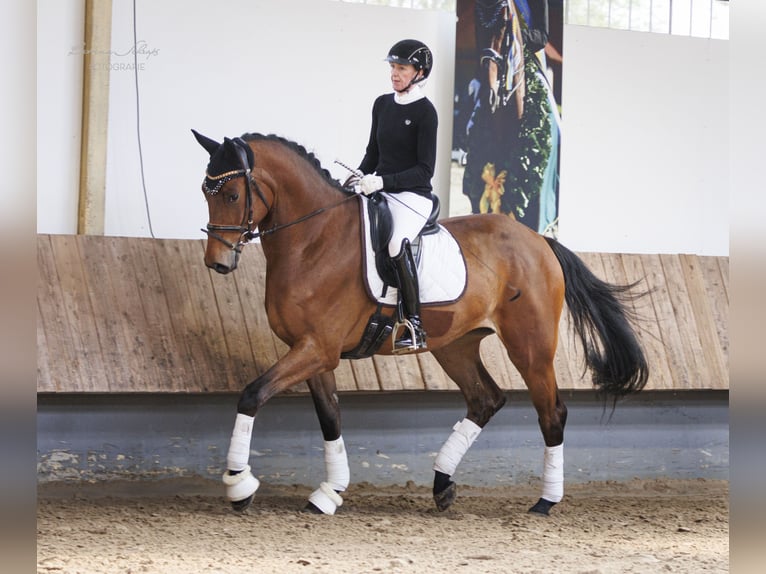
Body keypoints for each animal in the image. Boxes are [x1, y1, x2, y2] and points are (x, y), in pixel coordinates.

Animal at [190, 133, 648, 520]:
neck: (314, 239)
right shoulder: (314, 352)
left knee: (551, 412)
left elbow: (252, 394)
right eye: (204, 193)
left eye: (232, 194)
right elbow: (330, 417)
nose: (217, 262)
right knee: (485, 400)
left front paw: (240, 485)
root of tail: (538, 240)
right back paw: (443, 485)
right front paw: (330, 492)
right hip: (455, 345)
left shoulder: (317, 348)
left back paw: (544, 502)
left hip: (530, 348)